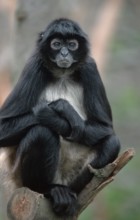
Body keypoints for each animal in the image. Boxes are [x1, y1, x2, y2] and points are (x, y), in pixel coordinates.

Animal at [0, 18, 120, 216]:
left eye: (72, 45)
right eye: (56, 44)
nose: (64, 52)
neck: (63, 74)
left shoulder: (90, 67)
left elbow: (105, 128)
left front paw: (62, 111)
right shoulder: (34, 65)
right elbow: (3, 128)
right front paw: (55, 112)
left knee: (112, 143)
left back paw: (68, 192)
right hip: (21, 178)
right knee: (42, 133)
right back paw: (49, 190)